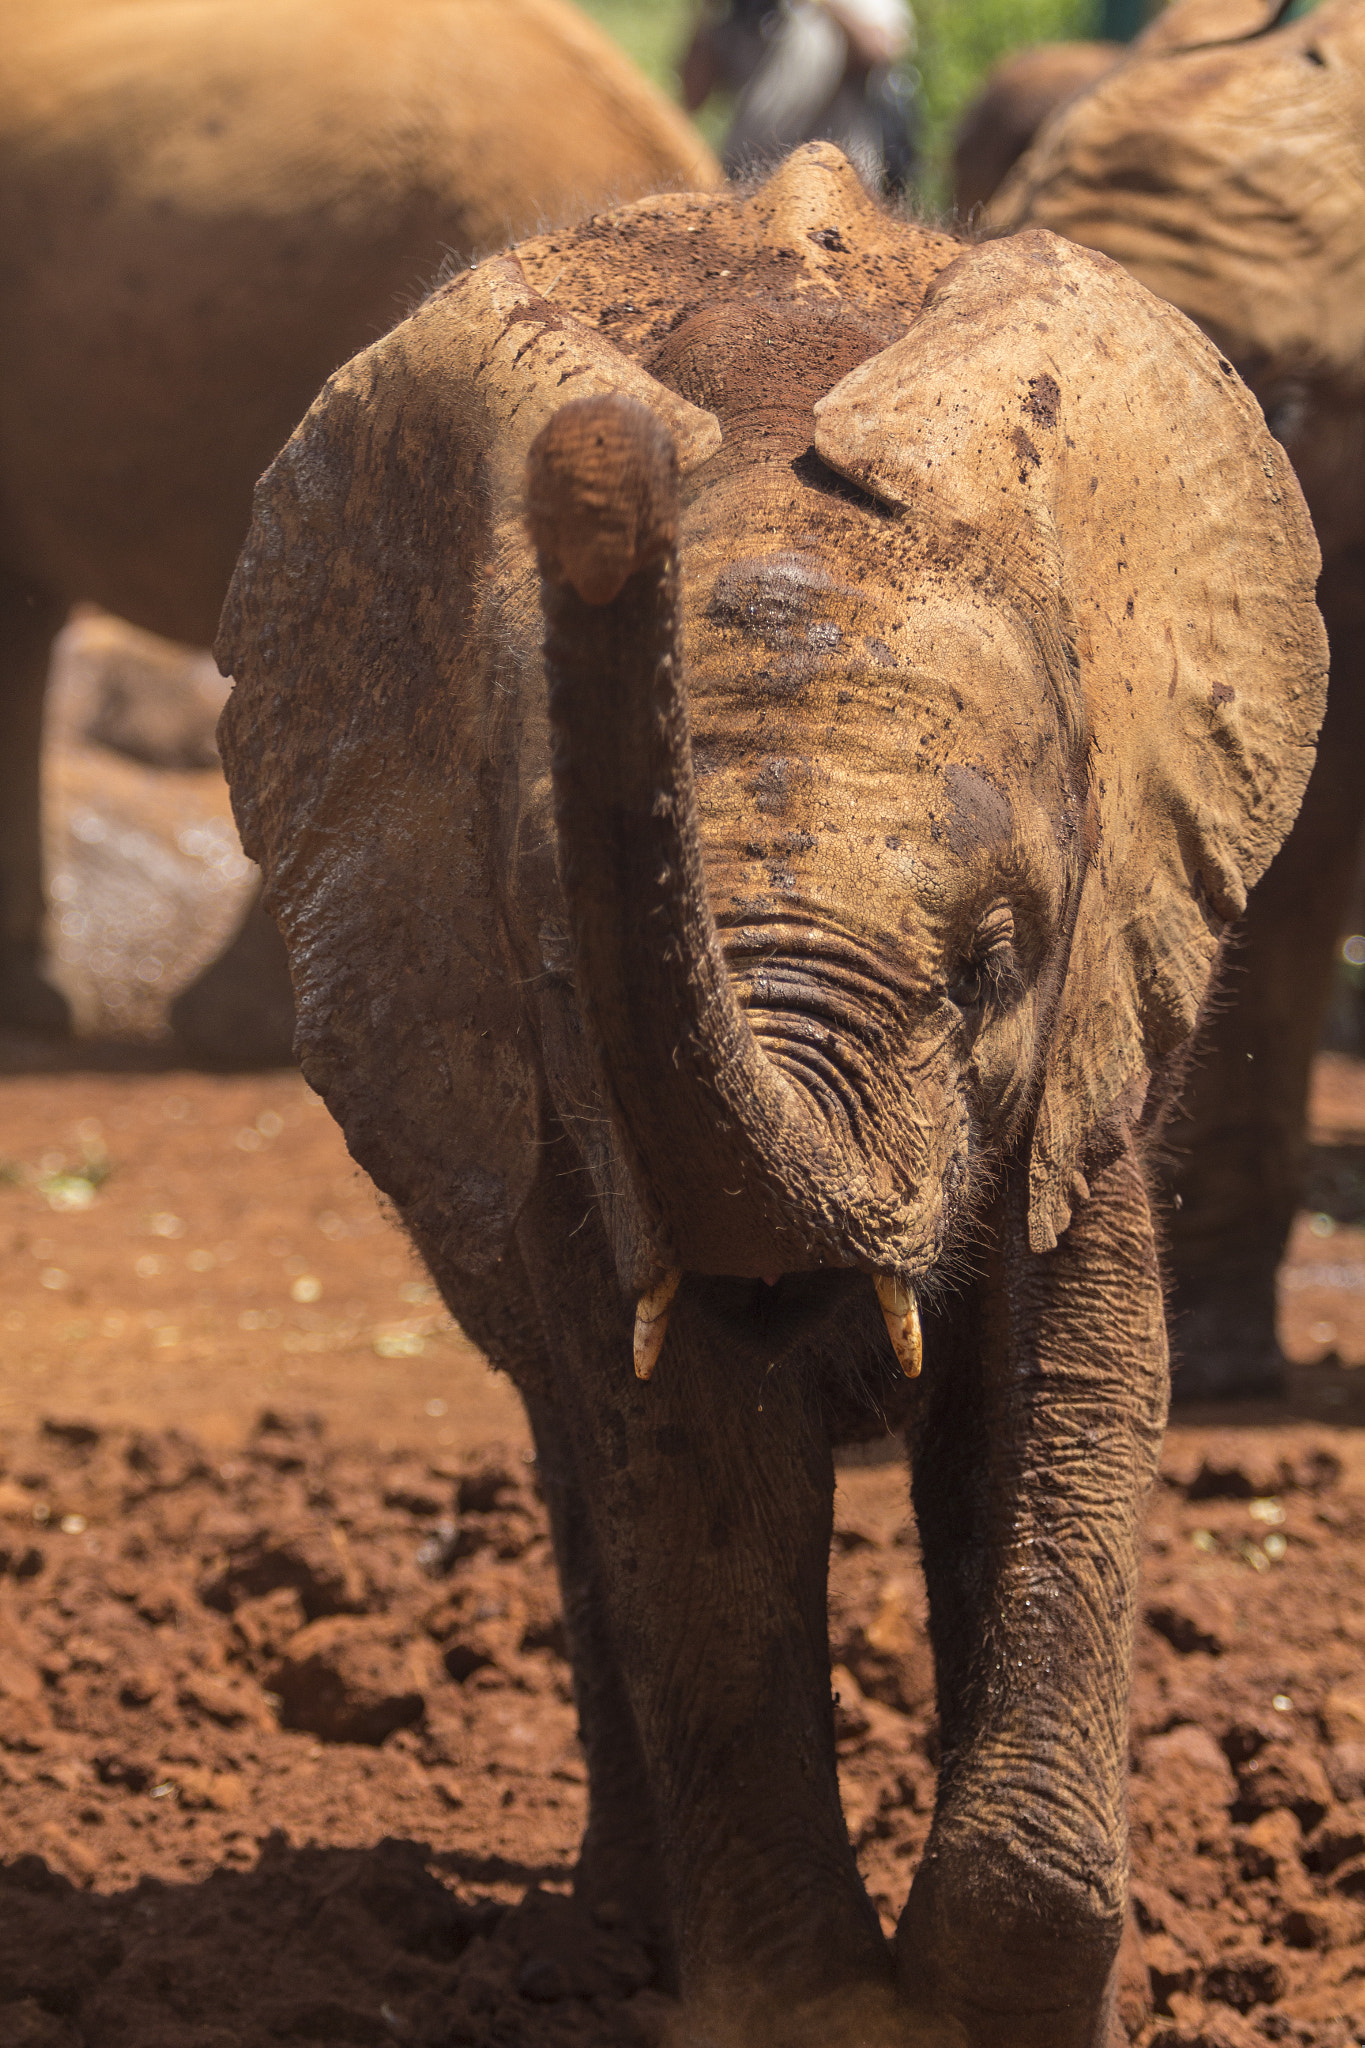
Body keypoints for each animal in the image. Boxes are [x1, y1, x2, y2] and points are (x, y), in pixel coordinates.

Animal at [218, 148, 1326, 2048]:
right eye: (560, 967)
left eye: (996, 960)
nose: (593, 471)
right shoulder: (575, 1113)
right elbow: (686, 1440)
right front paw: (816, 2012)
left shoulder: (1100, 1013)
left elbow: (1065, 1375)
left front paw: (1001, 1999)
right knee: (577, 1451)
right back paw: (605, 1948)